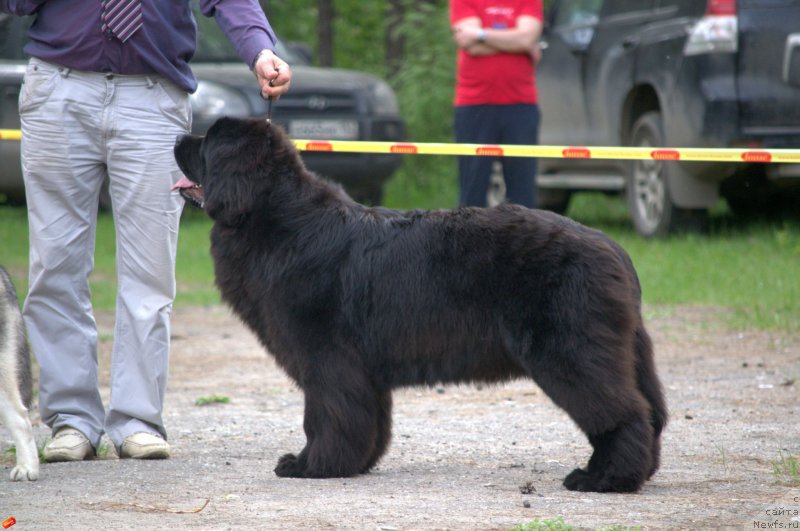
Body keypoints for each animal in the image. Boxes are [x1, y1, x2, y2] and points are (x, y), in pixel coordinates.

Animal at [175, 116, 668, 494]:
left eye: (207, 143)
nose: (178, 137)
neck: (273, 217)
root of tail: (612, 249)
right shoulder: (362, 370)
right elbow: (368, 420)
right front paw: (355, 463)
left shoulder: (326, 359)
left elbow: (325, 416)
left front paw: (311, 465)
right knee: (651, 412)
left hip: (569, 352)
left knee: (623, 414)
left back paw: (604, 479)